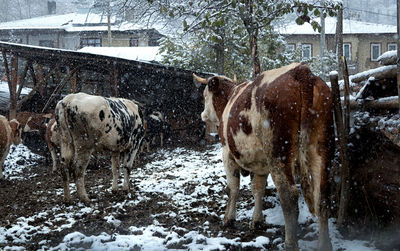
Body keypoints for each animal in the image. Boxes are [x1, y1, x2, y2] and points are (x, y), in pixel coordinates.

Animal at [194, 61, 334, 250]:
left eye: (204, 95)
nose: (202, 115)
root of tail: (300, 70)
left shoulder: (227, 154)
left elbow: (233, 188)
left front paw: (228, 219)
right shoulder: (260, 163)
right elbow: (258, 189)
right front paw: (257, 221)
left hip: (278, 153)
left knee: (289, 196)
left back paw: (290, 243)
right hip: (321, 148)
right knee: (322, 196)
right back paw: (324, 244)